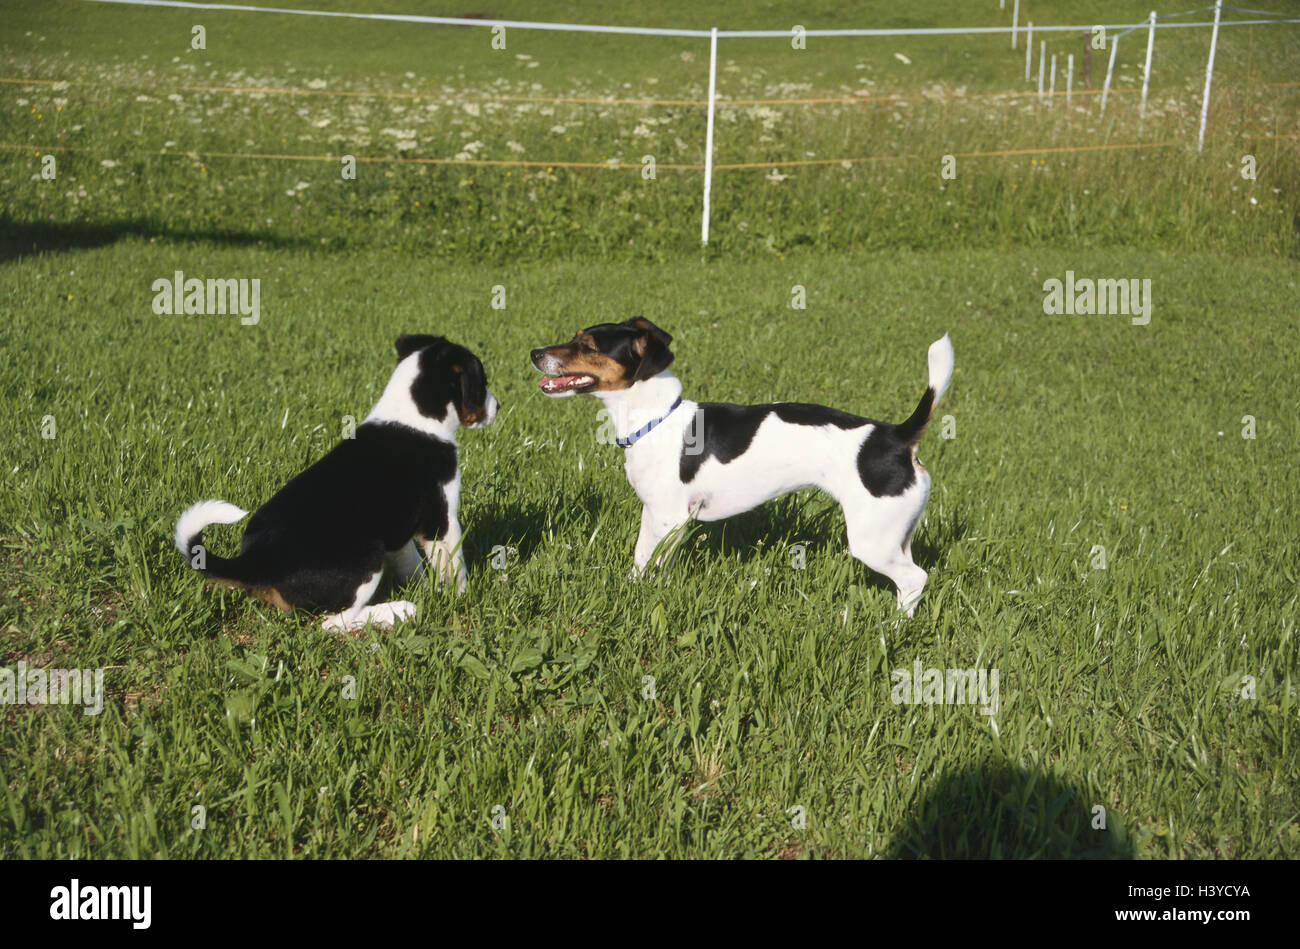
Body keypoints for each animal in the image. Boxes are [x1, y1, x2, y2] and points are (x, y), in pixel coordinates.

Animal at [174, 332, 496, 629]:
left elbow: (411, 563)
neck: (415, 416)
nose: (498, 406)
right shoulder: (441, 519)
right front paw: (460, 597)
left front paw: (424, 588)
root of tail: (256, 562)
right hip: (367, 557)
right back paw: (399, 610)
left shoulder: (398, 530)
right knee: (332, 622)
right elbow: (454, 565)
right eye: (482, 383)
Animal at [530, 315, 956, 613]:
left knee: (915, 579)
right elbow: (641, 558)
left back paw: (892, 630)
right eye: (575, 336)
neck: (656, 419)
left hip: (871, 541)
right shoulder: (653, 514)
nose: (534, 353)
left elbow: (657, 565)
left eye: (587, 345)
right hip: (896, 533)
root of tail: (897, 436)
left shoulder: (672, 519)